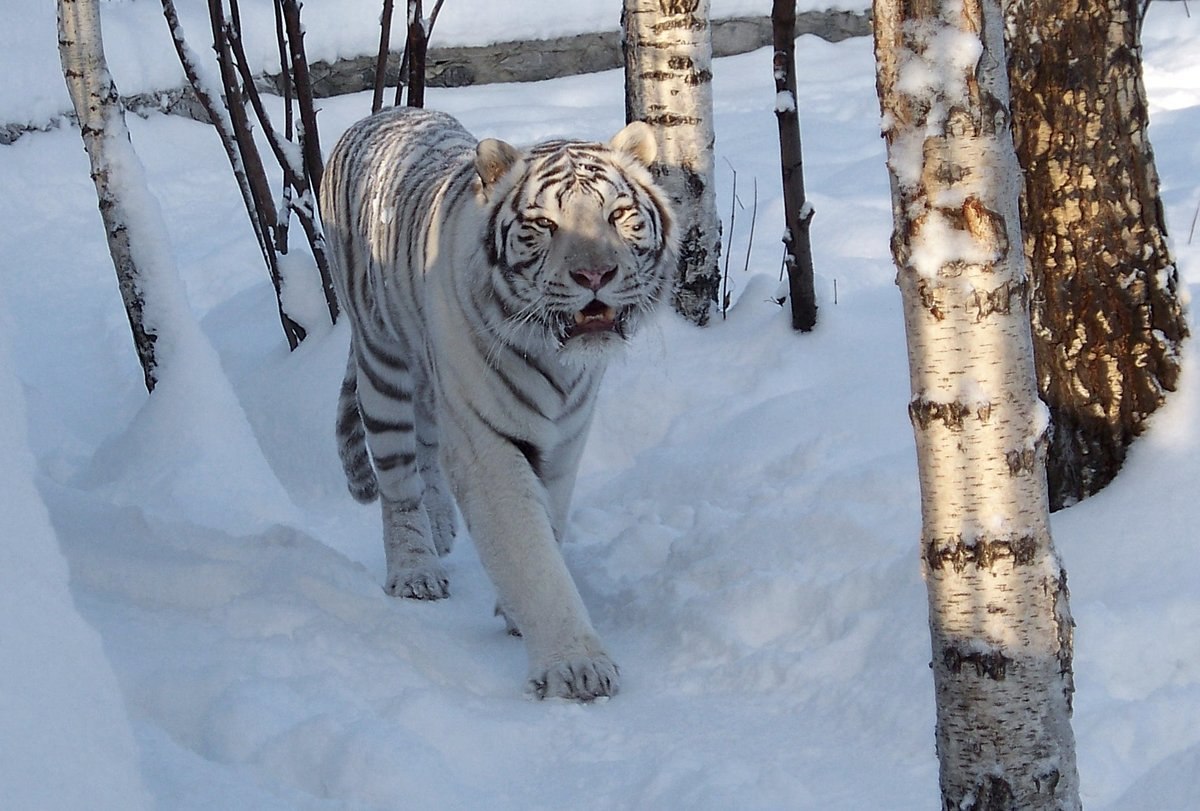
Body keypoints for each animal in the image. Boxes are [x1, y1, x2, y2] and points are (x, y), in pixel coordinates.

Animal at [316, 107, 676, 700]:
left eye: (620, 215)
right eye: (544, 225)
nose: (594, 276)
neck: (559, 359)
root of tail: (386, 112)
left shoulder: (566, 437)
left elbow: (548, 521)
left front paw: (515, 614)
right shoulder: (486, 443)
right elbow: (529, 550)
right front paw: (575, 666)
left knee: (428, 441)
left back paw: (441, 527)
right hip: (381, 363)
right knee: (397, 480)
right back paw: (415, 569)